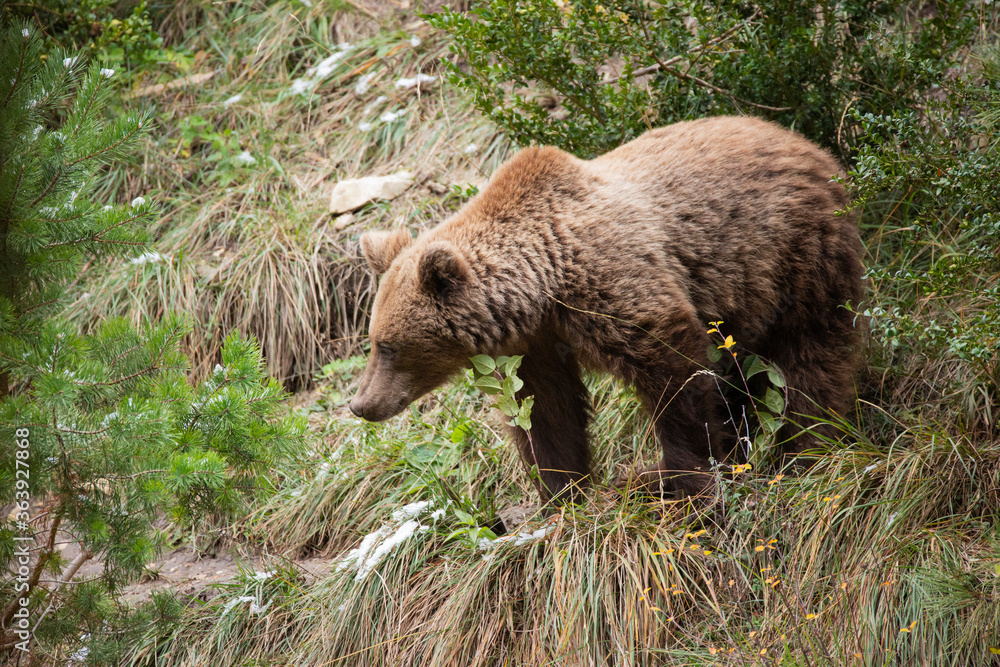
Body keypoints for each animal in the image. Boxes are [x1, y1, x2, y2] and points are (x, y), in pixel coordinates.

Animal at [349, 115, 864, 503]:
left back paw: (807, 446)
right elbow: (545, 410)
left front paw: (680, 476)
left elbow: (674, 372)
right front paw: (561, 493)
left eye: (387, 346)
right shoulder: (536, 344)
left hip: (795, 254)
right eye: (372, 341)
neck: (542, 286)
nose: (361, 404)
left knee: (811, 353)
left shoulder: (611, 285)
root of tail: (810, 145)